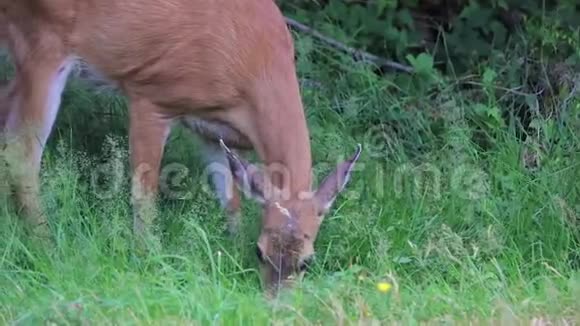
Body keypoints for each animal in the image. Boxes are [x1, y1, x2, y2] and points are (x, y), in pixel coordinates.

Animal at [1, 0, 362, 294]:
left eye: (307, 262)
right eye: (260, 251)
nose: (275, 303)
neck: (254, 61)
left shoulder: (214, 134)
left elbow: (230, 200)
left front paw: (229, 247)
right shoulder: (151, 96)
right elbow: (144, 194)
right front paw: (148, 257)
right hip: (42, 44)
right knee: (22, 153)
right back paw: (46, 245)